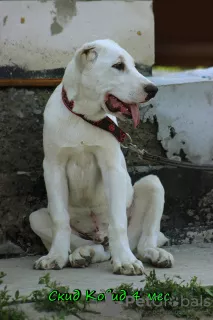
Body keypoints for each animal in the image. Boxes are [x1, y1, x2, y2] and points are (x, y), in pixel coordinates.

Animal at [29, 39, 173, 276]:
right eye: (118, 66)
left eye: (134, 65)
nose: (153, 90)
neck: (85, 117)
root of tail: (100, 238)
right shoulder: (53, 167)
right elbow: (60, 220)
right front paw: (55, 257)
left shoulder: (111, 168)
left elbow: (118, 221)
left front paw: (125, 261)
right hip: (37, 218)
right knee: (93, 247)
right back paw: (83, 254)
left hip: (153, 184)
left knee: (144, 240)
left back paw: (153, 254)